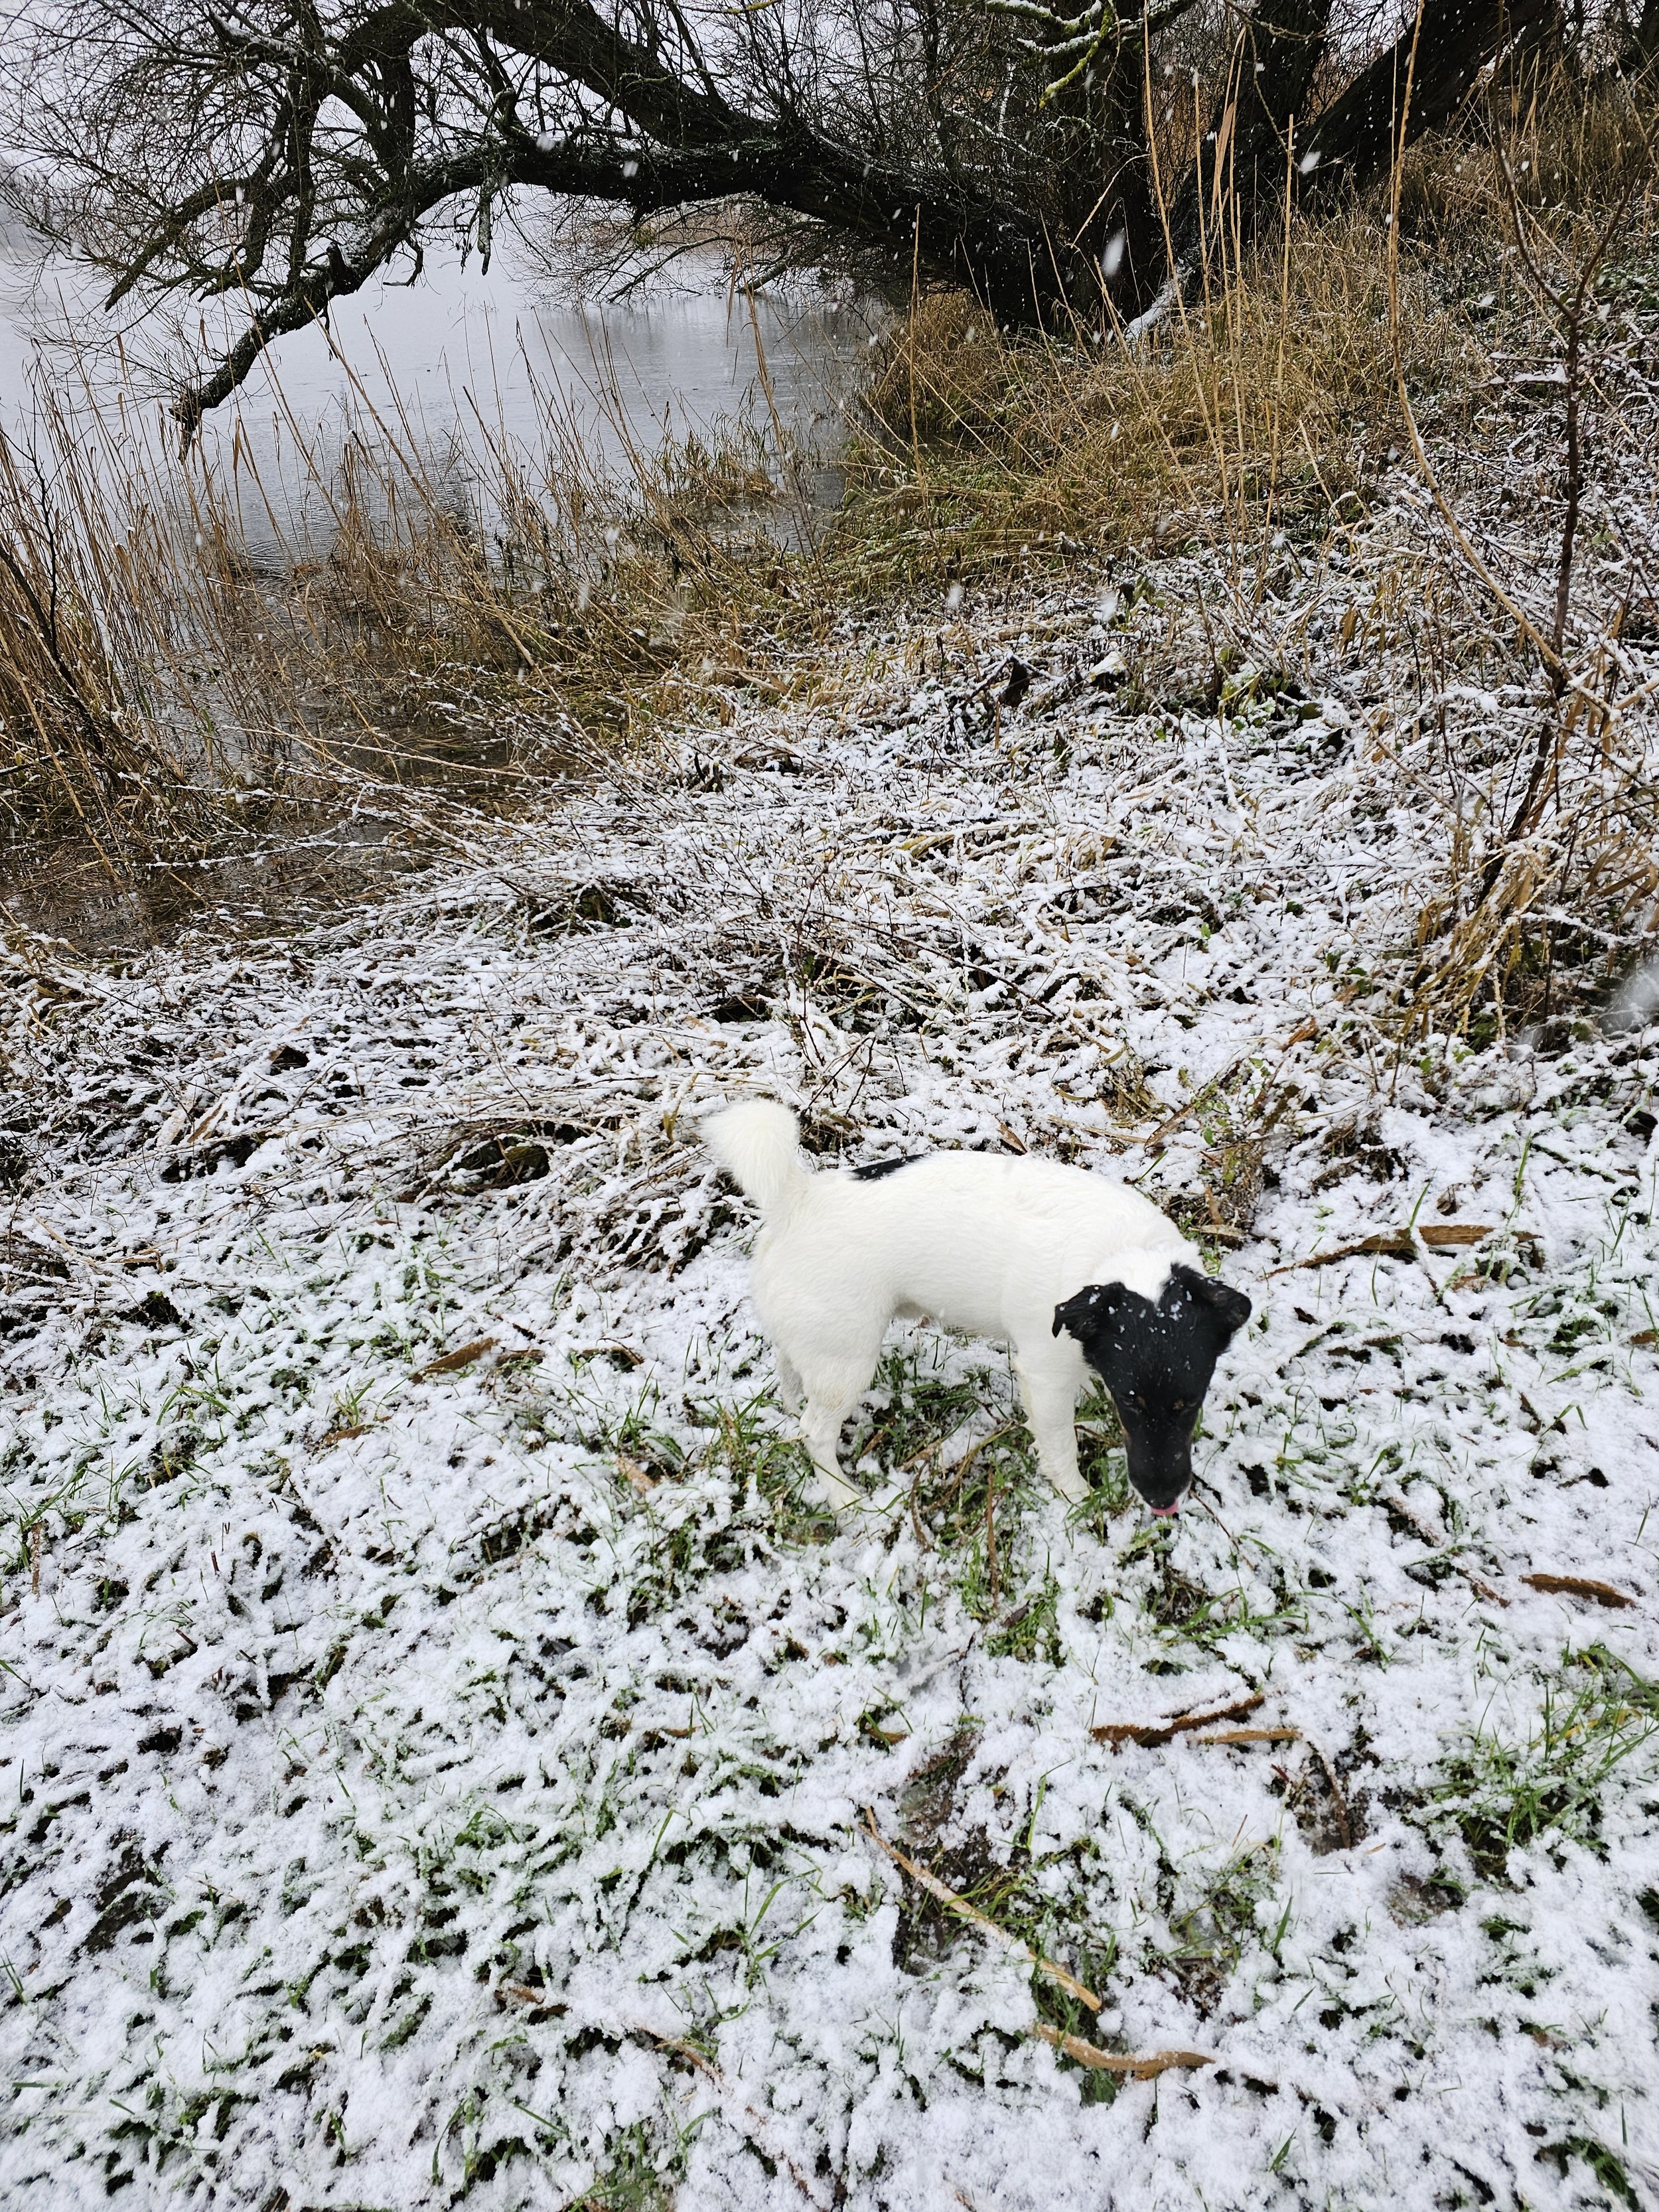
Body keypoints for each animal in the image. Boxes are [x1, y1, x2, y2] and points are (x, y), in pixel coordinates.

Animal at [703, 1106, 1248, 1522]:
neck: (1123, 1252)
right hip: (847, 1360)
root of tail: (797, 1201)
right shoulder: (1044, 1376)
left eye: (1192, 1400)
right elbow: (1060, 1446)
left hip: (816, 1343)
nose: (1163, 1500)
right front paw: (1077, 1497)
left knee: (791, 1381)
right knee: (815, 1434)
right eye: (1132, 1400)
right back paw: (843, 1496)